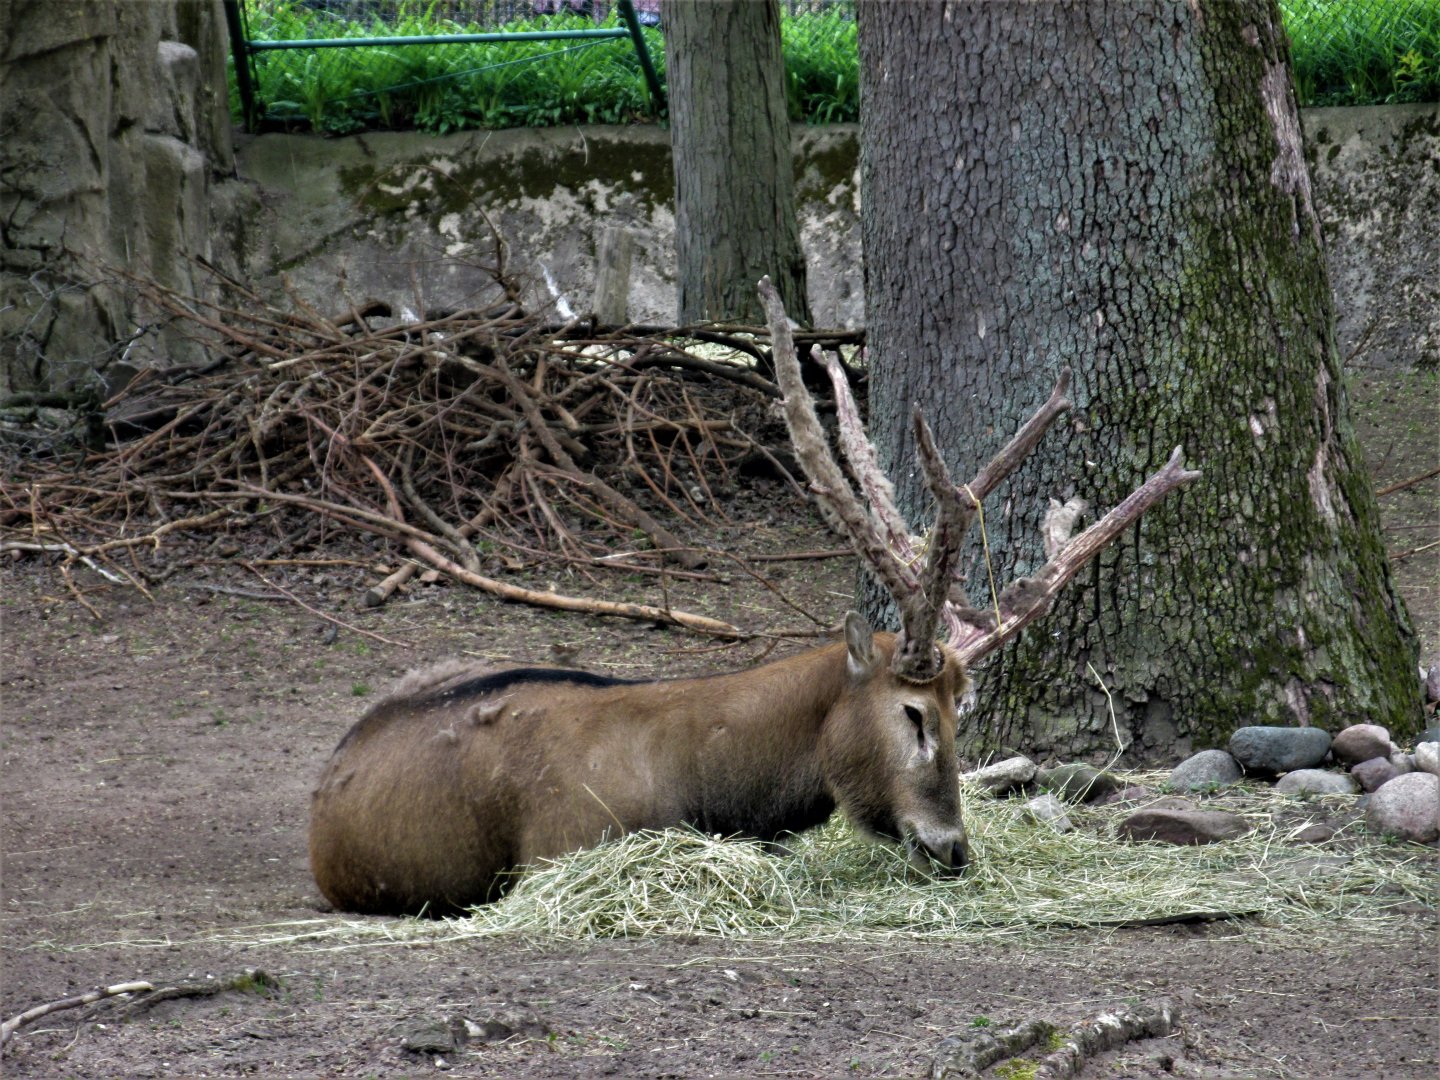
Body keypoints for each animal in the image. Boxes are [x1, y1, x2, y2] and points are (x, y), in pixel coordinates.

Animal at [308, 279, 1199, 916]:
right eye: (915, 713)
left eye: (965, 709)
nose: (951, 848)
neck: (721, 785)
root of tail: (328, 777)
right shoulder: (558, 849)